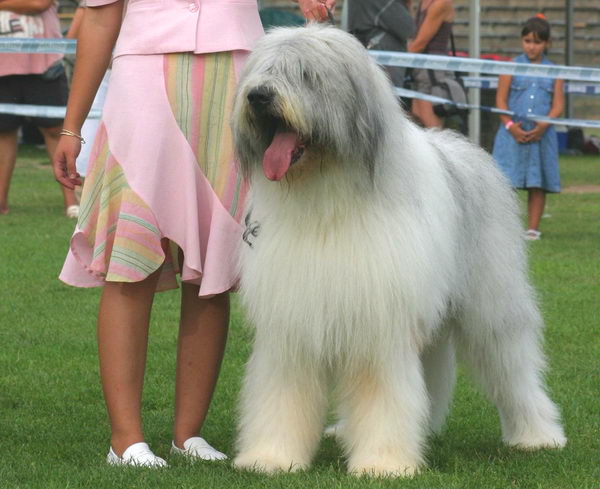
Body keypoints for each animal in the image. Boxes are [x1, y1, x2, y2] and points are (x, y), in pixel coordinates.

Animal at [231, 24, 568, 474]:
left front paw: (382, 463)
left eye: (306, 74)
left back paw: (537, 435)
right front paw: (271, 457)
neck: (325, 197)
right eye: (262, 71)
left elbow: (383, 396)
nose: (258, 96)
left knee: (512, 368)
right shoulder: (292, 325)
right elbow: (281, 394)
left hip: (489, 305)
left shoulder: (381, 324)